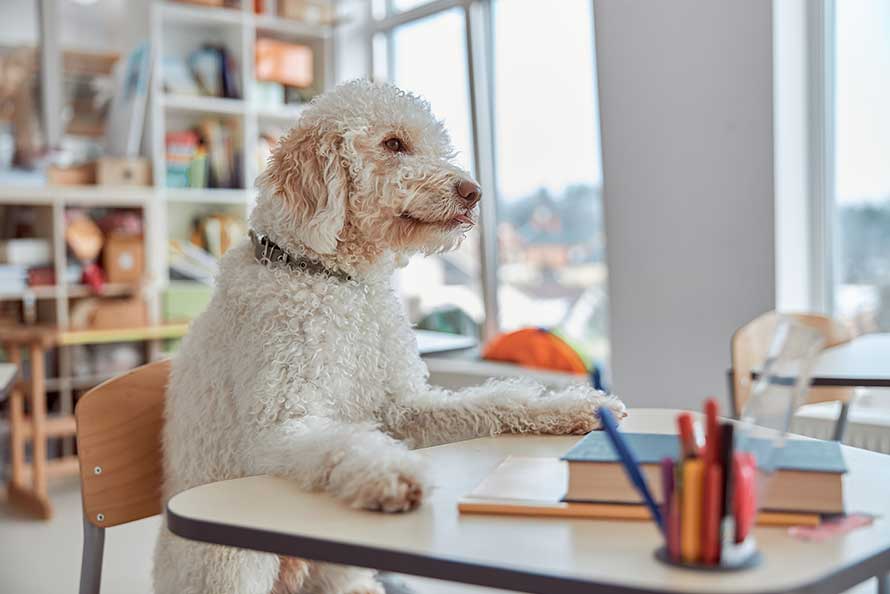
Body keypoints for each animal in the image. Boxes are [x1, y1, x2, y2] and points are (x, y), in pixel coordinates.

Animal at [154, 81, 624, 592]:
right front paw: (392, 473)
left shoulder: (403, 407)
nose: (473, 192)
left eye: (436, 146)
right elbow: (347, 443)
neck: (333, 280)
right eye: (394, 144)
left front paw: (574, 407)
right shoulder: (280, 425)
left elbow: (498, 400)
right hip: (228, 562)